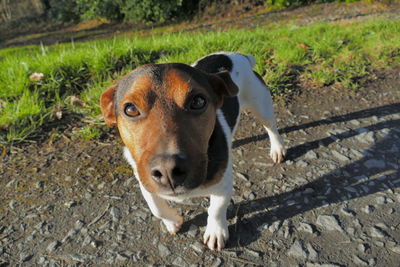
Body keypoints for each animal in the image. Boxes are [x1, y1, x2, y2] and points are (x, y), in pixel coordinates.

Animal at [101, 52, 286, 251]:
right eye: (130, 109)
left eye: (198, 101)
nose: (167, 171)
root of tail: (236, 55)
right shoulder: (144, 182)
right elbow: (156, 207)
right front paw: (172, 221)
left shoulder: (223, 184)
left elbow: (216, 209)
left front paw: (216, 232)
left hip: (261, 105)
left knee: (272, 128)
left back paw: (277, 149)